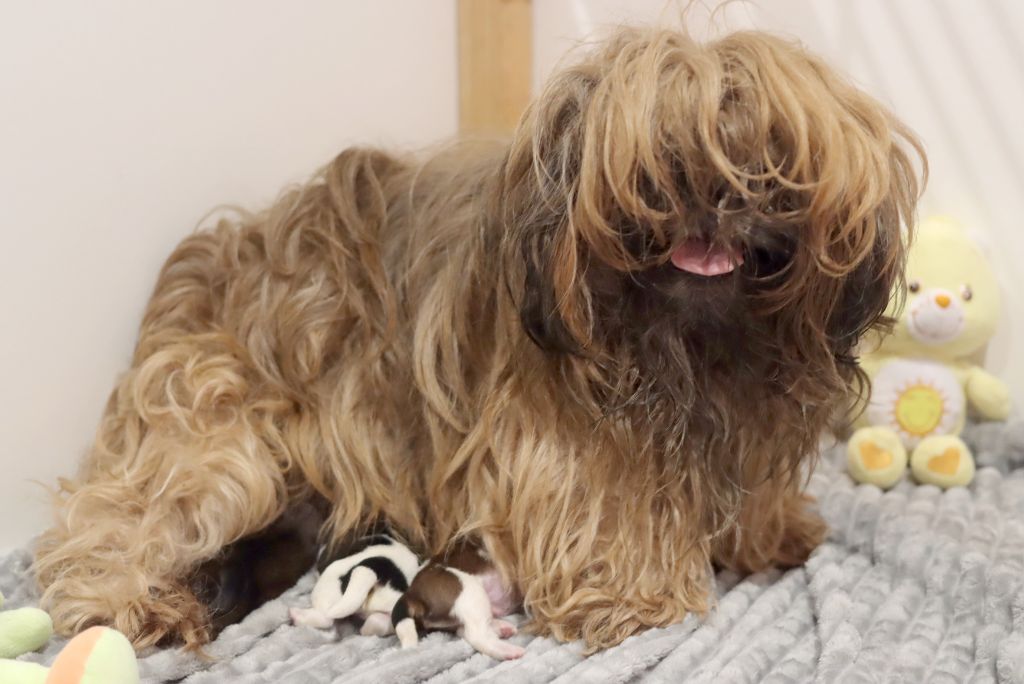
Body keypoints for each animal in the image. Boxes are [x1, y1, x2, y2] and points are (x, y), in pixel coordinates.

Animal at [286, 532, 417, 634]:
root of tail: (374, 568)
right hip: (393, 612)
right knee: (378, 621)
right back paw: (364, 630)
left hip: (326, 590)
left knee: (326, 618)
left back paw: (296, 615)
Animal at [389, 540, 524, 659]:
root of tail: (411, 593)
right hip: (470, 592)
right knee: (476, 636)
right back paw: (509, 650)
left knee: (462, 630)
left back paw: (502, 628)